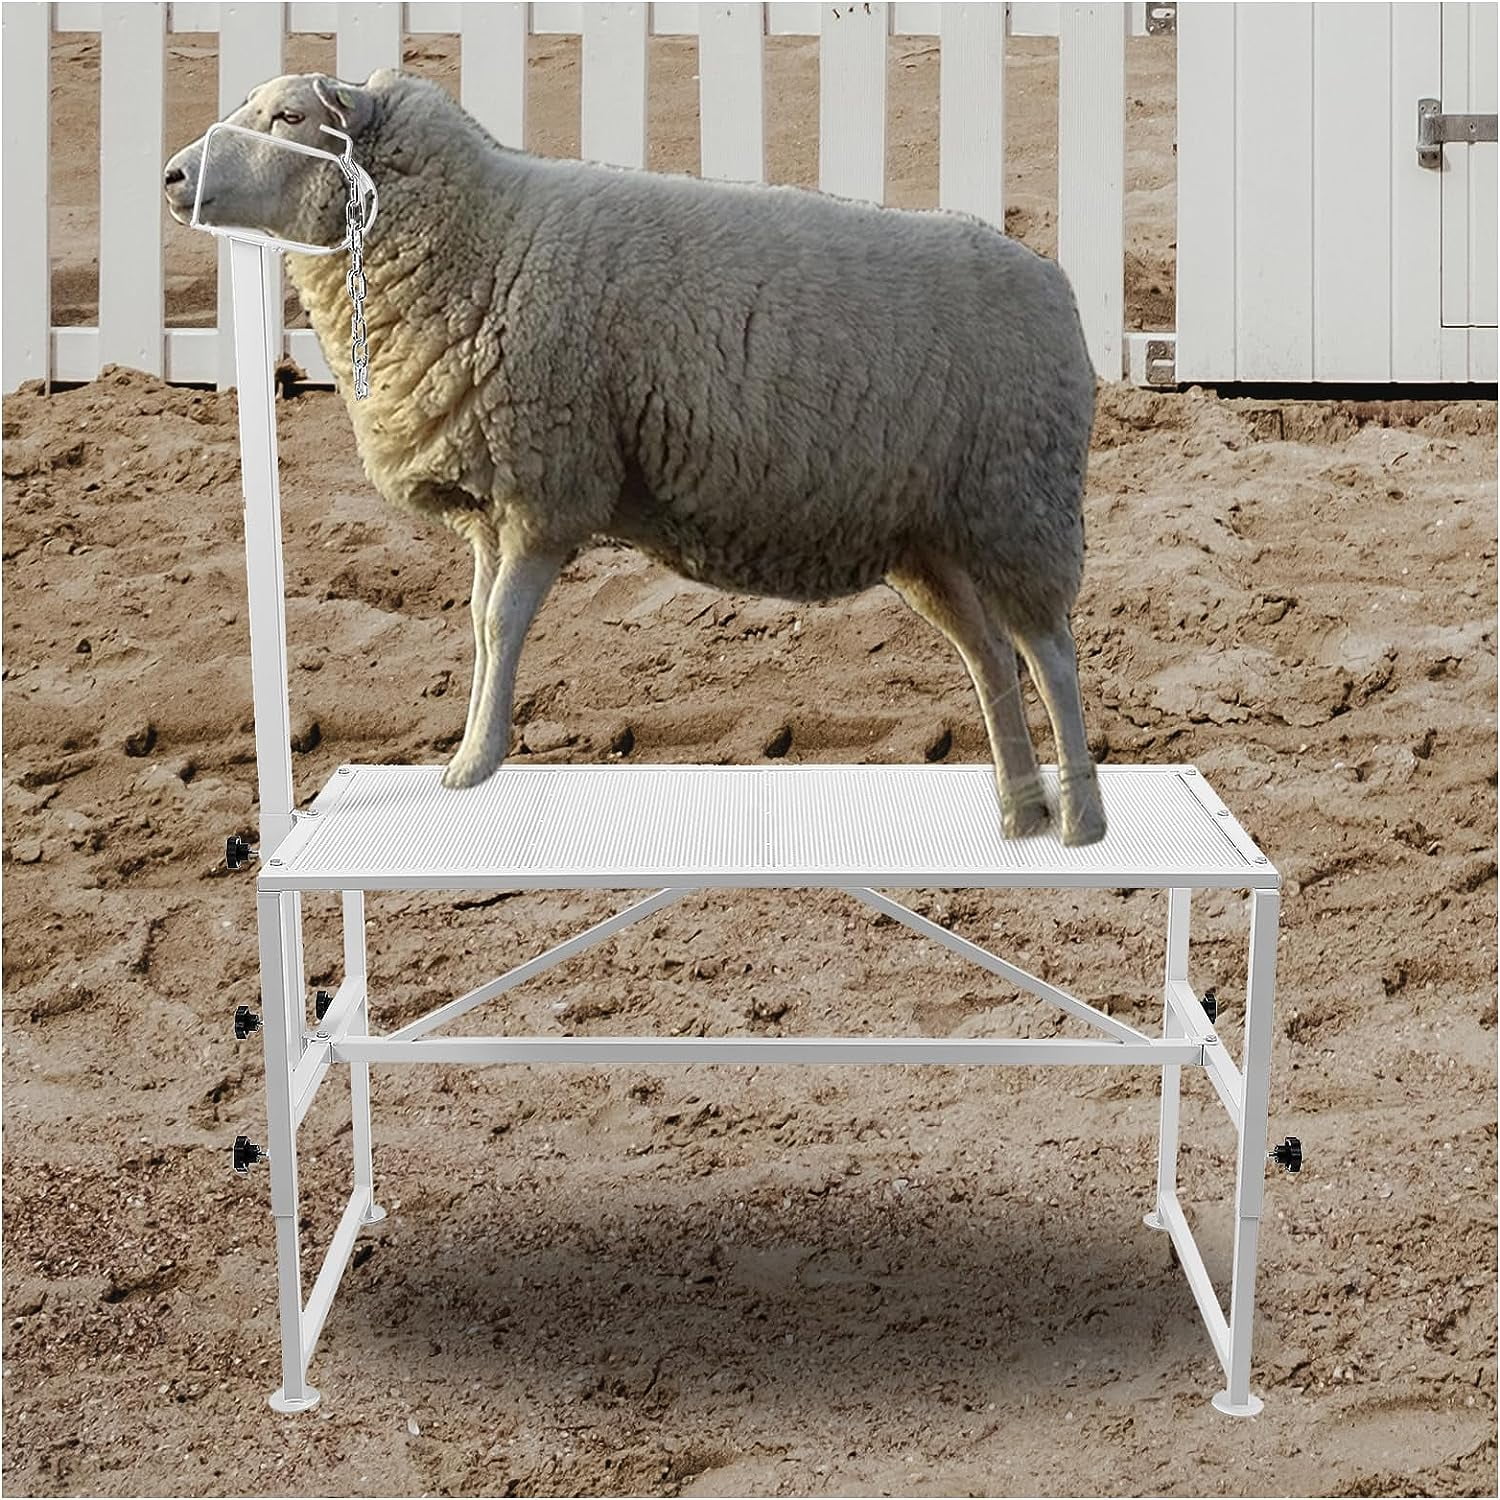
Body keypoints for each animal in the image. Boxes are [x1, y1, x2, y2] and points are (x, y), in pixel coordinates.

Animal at [164, 69, 1108, 846]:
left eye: (289, 116)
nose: (173, 176)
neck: (477, 239)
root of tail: (1056, 286)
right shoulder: (495, 500)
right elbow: (476, 626)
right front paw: (471, 751)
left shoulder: (548, 486)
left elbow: (500, 626)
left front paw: (474, 765)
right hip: (931, 536)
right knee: (989, 656)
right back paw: (1020, 810)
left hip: (1018, 503)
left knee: (1051, 653)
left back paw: (1080, 821)